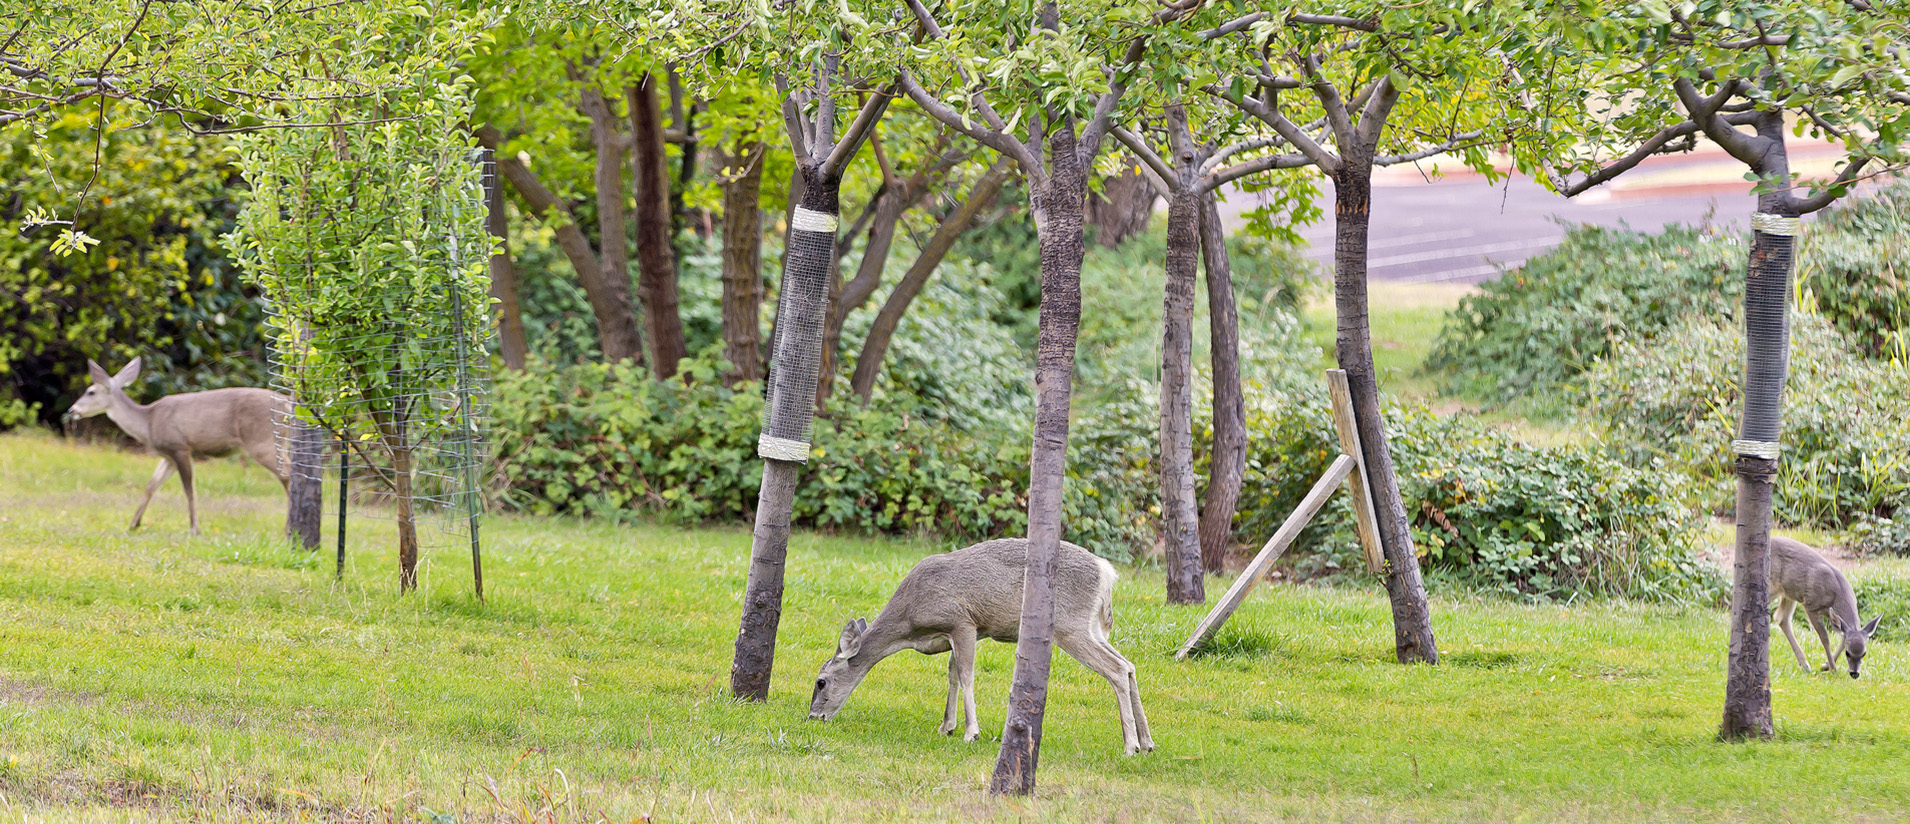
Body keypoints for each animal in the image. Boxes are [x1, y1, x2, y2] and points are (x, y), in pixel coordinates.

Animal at [62, 357, 291, 535]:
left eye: (90, 392)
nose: (72, 410)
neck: (148, 423)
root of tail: (288, 404)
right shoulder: (168, 456)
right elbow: (151, 485)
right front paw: (134, 523)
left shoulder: (180, 446)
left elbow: (189, 489)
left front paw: (194, 528)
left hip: (262, 441)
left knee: (287, 475)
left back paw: (288, 528)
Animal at [807, 538, 1155, 755]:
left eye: (821, 681)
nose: (812, 717)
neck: (910, 623)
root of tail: (1106, 572)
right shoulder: (960, 633)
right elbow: (951, 674)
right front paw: (946, 726)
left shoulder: (962, 621)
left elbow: (966, 674)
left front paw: (970, 732)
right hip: (1092, 627)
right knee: (1129, 665)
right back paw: (1148, 742)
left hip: (1070, 627)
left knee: (1116, 668)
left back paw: (1130, 745)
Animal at [1769, 536, 1881, 679]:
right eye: (1848, 653)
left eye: (1864, 653)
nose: (1854, 673)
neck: (1837, 593)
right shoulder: (1811, 605)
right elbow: (1825, 638)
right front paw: (1833, 669)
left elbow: (1842, 636)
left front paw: (1825, 665)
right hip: (1773, 587)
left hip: (1790, 593)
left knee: (1781, 618)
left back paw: (1804, 665)